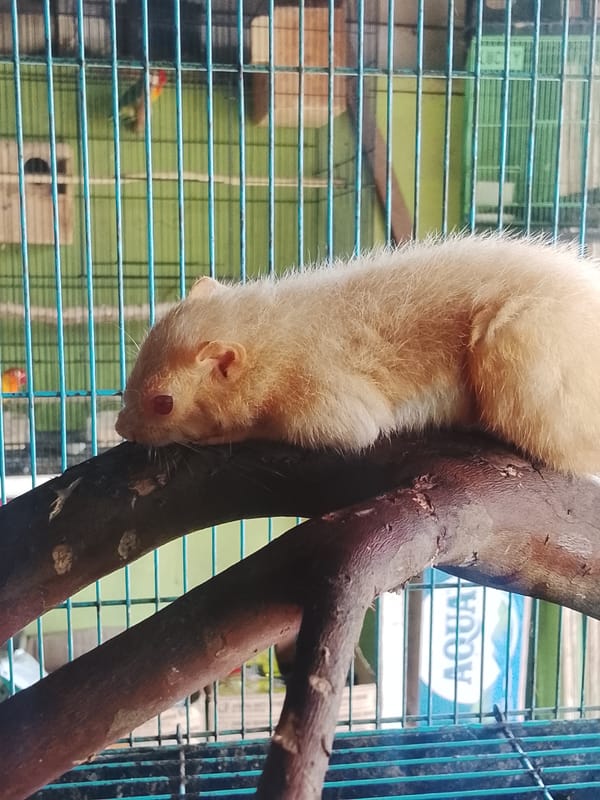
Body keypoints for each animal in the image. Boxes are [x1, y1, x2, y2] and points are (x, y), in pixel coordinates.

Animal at [115, 234, 600, 474]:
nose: (120, 428)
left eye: (164, 403)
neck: (273, 332)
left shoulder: (321, 388)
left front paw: (222, 434)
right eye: (132, 373)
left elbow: (352, 431)